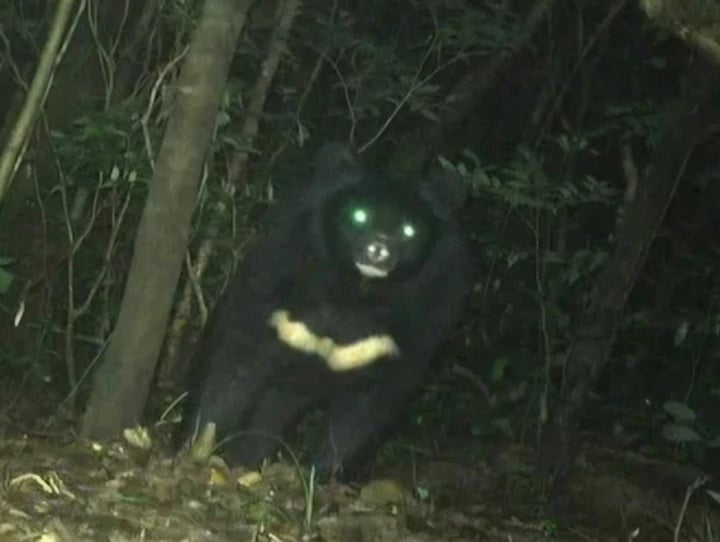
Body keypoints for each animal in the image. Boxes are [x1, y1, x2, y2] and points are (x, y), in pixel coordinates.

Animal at [176, 144, 472, 480]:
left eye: (410, 230)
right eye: (358, 215)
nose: (378, 250)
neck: (355, 291)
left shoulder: (413, 327)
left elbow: (365, 410)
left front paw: (317, 474)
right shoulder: (275, 282)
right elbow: (232, 364)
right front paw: (196, 448)